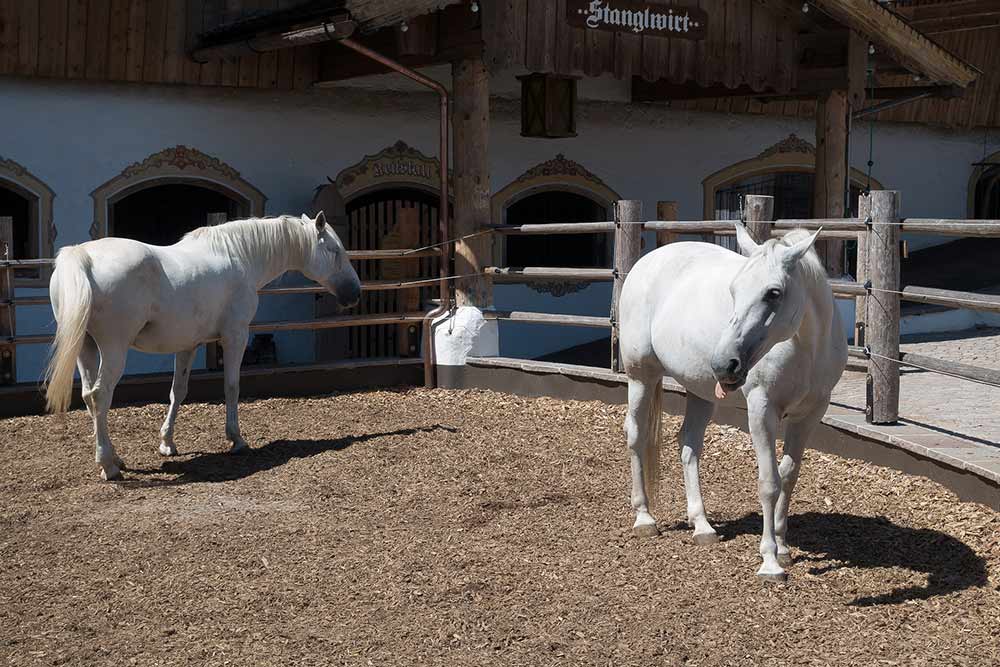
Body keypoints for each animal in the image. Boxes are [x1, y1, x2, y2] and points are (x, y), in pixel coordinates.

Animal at [45, 214, 364, 480]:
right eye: (334, 251)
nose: (355, 293)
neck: (239, 256)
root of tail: (84, 256)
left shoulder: (188, 345)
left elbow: (178, 392)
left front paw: (167, 442)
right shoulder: (235, 336)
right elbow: (232, 387)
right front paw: (236, 439)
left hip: (85, 349)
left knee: (89, 396)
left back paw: (115, 458)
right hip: (113, 349)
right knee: (100, 396)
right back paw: (108, 466)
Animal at [620, 224, 848, 580]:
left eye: (773, 293)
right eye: (734, 289)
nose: (724, 364)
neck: (806, 347)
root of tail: (647, 261)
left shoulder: (810, 414)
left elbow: (789, 476)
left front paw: (784, 548)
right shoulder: (761, 410)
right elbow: (769, 482)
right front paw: (769, 561)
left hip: (699, 393)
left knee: (689, 446)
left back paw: (702, 526)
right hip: (640, 376)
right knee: (636, 435)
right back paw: (644, 518)